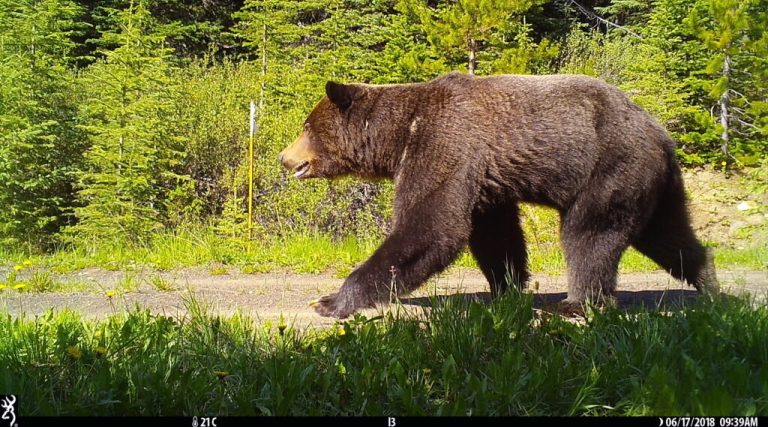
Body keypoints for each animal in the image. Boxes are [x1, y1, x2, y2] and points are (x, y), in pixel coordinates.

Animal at [278, 72, 720, 320]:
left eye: (306, 126)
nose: (285, 157)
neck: (400, 135)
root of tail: (661, 134)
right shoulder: (484, 177)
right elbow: (494, 233)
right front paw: (506, 289)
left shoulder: (443, 145)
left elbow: (429, 228)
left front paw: (330, 301)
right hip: (650, 183)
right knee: (668, 235)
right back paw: (709, 283)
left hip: (609, 169)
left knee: (589, 235)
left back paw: (576, 303)